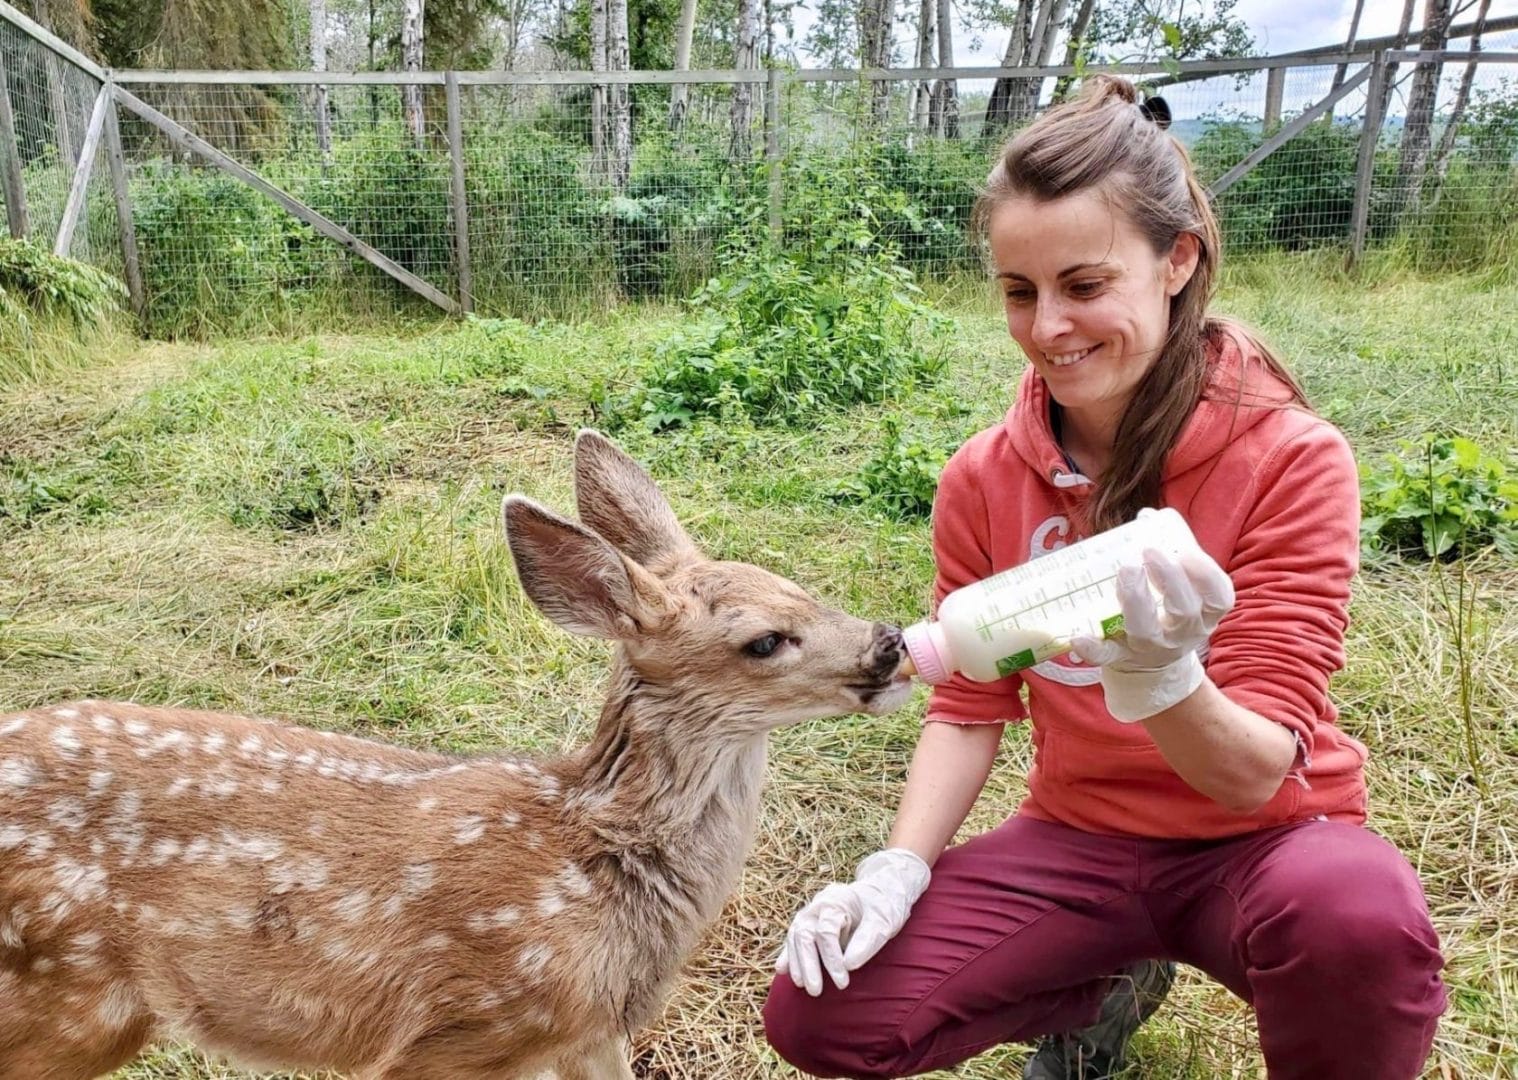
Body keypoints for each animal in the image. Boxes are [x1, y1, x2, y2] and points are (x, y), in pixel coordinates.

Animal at [0, 434, 910, 1080]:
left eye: (800, 588)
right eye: (765, 640)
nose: (890, 643)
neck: (593, 864)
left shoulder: (588, 1034)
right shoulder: (458, 1033)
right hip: (63, 993)